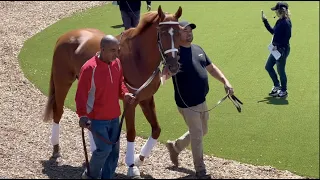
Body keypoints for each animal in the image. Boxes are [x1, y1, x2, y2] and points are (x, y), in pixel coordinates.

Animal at [42, 5, 182, 177]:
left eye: (179, 32)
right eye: (162, 33)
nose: (173, 65)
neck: (138, 57)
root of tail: (64, 36)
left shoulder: (146, 98)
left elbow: (156, 130)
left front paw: (138, 159)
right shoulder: (131, 102)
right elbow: (131, 132)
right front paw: (131, 166)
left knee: (88, 120)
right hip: (63, 82)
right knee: (58, 112)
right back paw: (56, 148)